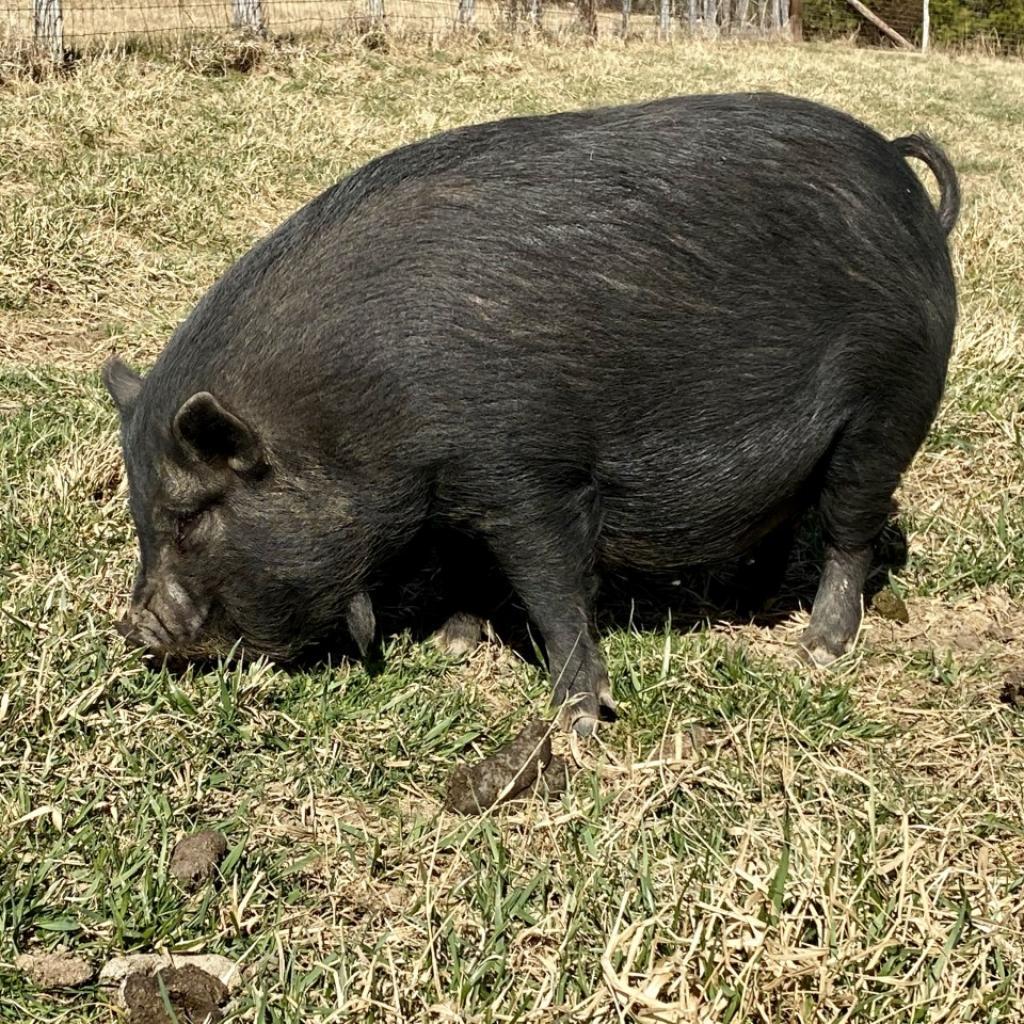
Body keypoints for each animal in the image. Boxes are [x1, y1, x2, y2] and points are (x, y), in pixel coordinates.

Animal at [103, 92, 960, 736]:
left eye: (188, 516)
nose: (137, 631)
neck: (359, 417)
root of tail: (908, 187)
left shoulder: (529, 475)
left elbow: (552, 591)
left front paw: (578, 721)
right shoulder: (453, 499)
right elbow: (469, 568)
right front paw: (453, 646)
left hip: (890, 407)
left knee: (851, 528)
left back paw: (817, 649)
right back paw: (746, 610)